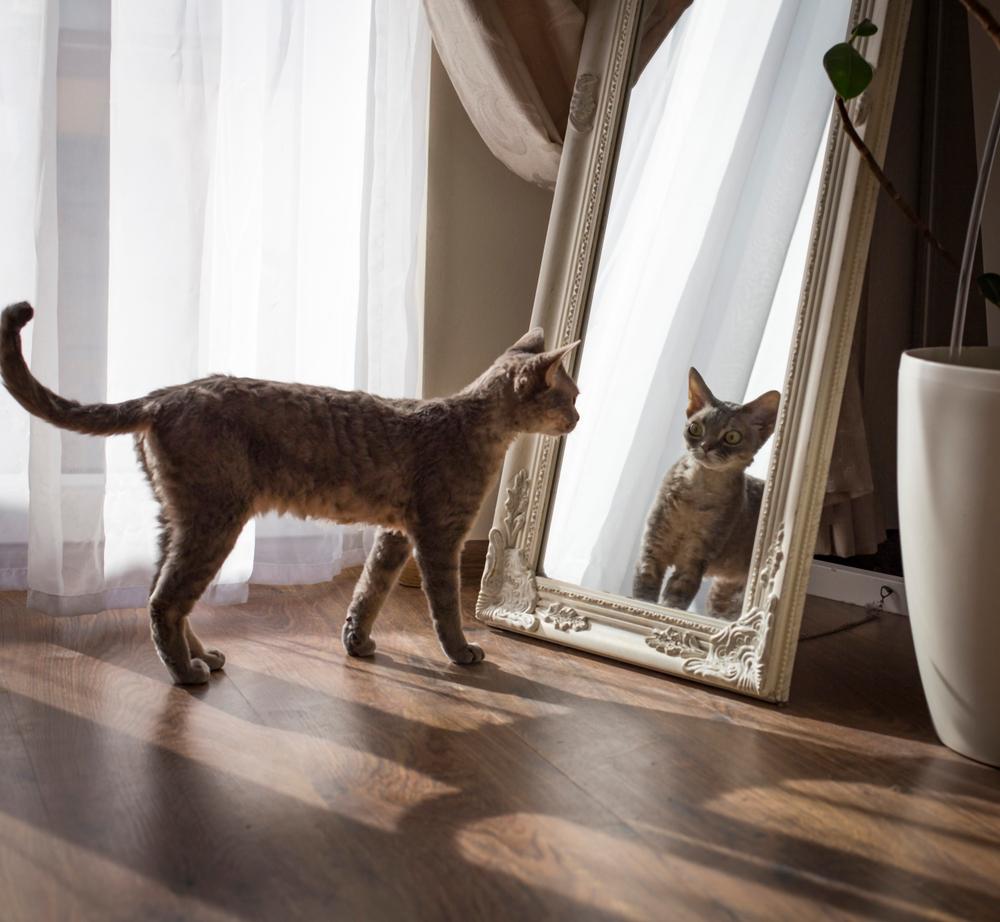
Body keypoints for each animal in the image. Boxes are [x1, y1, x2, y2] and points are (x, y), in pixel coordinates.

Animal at [0, 302, 580, 684]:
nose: (578, 417)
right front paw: (461, 652)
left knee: (160, 595)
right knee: (165, 601)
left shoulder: (395, 534)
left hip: (180, 520)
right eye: (570, 395)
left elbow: (368, 593)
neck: (471, 424)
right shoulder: (439, 537)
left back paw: (203, 657)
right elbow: (446, 608)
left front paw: (357, 643)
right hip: (214, 521)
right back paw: (186, 672)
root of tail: (165, 394)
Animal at [632, 366, 780, 620]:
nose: (705, 446)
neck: (698, 492)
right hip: (722, 591)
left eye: (732, 437)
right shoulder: (653, 545)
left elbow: (675, 598)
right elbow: (644, 587)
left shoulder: (695, 558)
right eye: (695, 428)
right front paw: (642, 606)